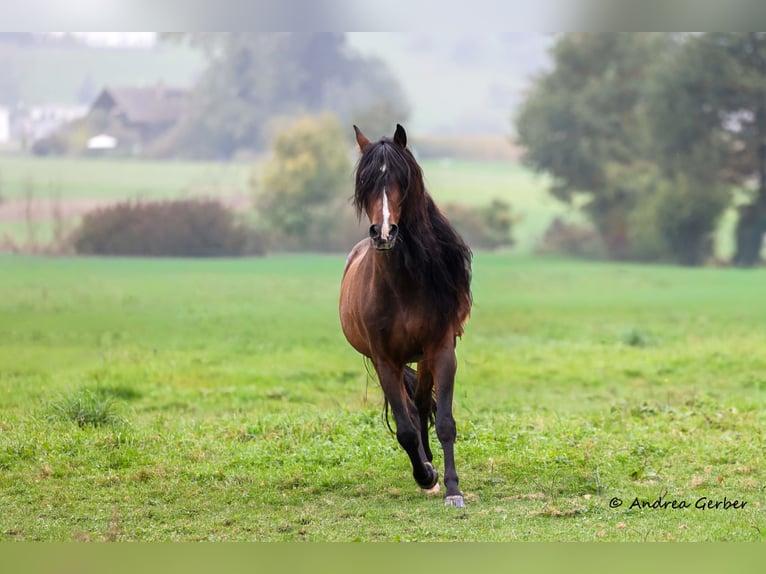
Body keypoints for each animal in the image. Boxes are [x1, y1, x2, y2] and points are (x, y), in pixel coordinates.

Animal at [339, 124, 472, 507]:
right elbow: (405, 430)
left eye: (402, 178)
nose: (383, 233)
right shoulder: (385, 360)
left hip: (424, 357)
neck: (402, 286)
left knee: (423, 405)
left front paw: (452, 488)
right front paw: (425, 475)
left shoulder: (441, 350)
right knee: (412, 412)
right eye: (365, 182)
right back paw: (425, 467)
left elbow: (443, 422)